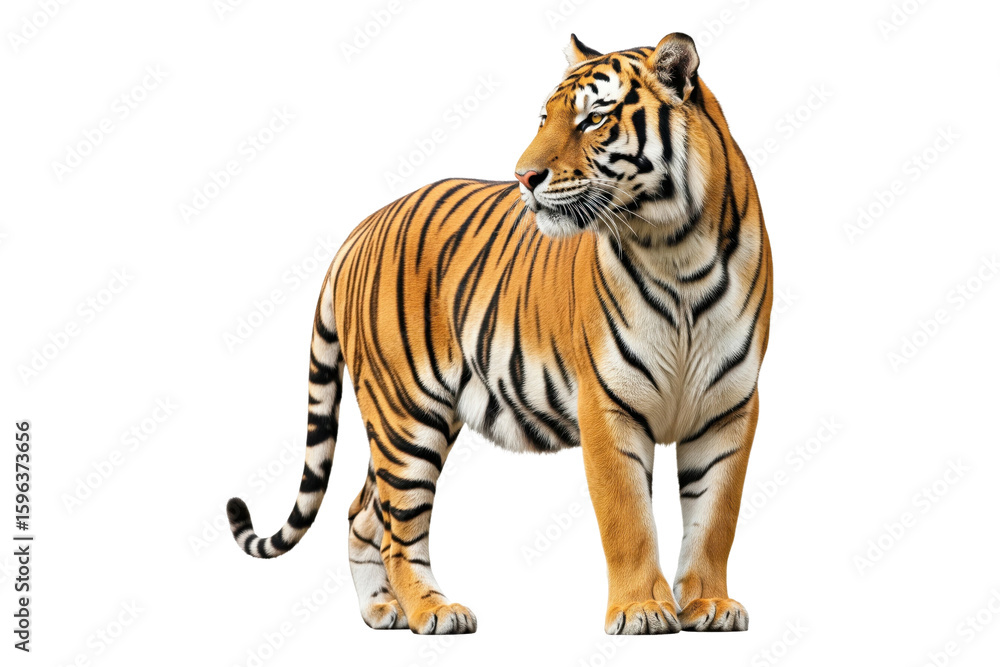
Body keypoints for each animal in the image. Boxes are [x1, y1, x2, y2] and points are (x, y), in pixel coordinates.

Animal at [227, 31, 772, 636]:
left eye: (593, 119)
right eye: (544, 118)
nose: (523, 178)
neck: (677, 248)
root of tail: (362, 227)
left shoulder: (730, 406)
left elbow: (715, 518)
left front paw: (710, 604)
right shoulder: (607, 405)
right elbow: (628, 518)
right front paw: (641, 611)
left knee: (363, 512)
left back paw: (381, 611)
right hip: (405, 416)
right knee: (397, 529)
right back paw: (433, 611)